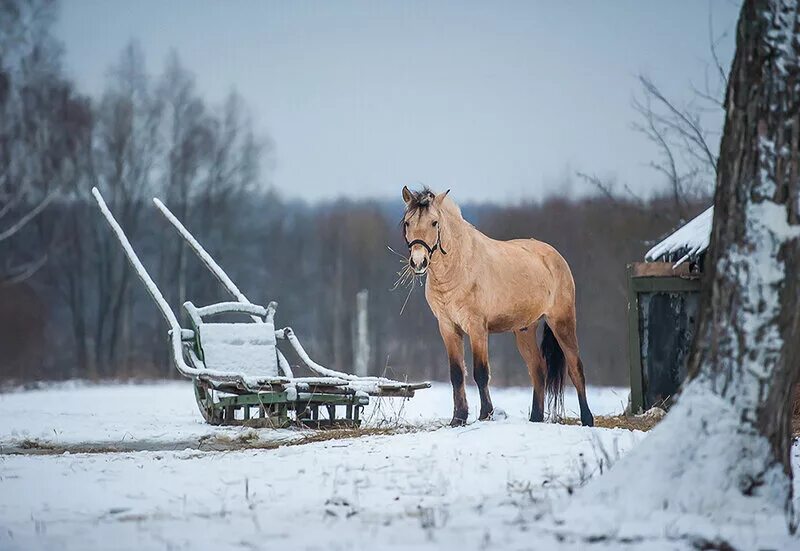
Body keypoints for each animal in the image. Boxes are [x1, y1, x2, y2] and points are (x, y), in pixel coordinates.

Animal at [404, 185, 592, 426]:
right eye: (407, 223)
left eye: (434, 222)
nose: (418, 262)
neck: (459, 266)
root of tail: (555, 257)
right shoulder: (448, 327)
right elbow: (457, 374)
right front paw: (458, 418)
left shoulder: (477, 328)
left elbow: (480, 373)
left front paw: (486, 414)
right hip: (524, 330)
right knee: (538, 371)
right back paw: (535, 418)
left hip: (562, 320)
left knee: (576, 368)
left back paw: (587, 419)